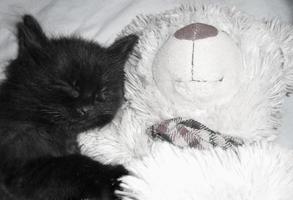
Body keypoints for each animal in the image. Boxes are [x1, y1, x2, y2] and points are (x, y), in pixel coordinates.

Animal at [0, 14, 138, 199]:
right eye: (69, 86)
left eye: (101, 92)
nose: (86, 108)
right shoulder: (20, 169)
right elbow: (74, 164)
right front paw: (117, 178)